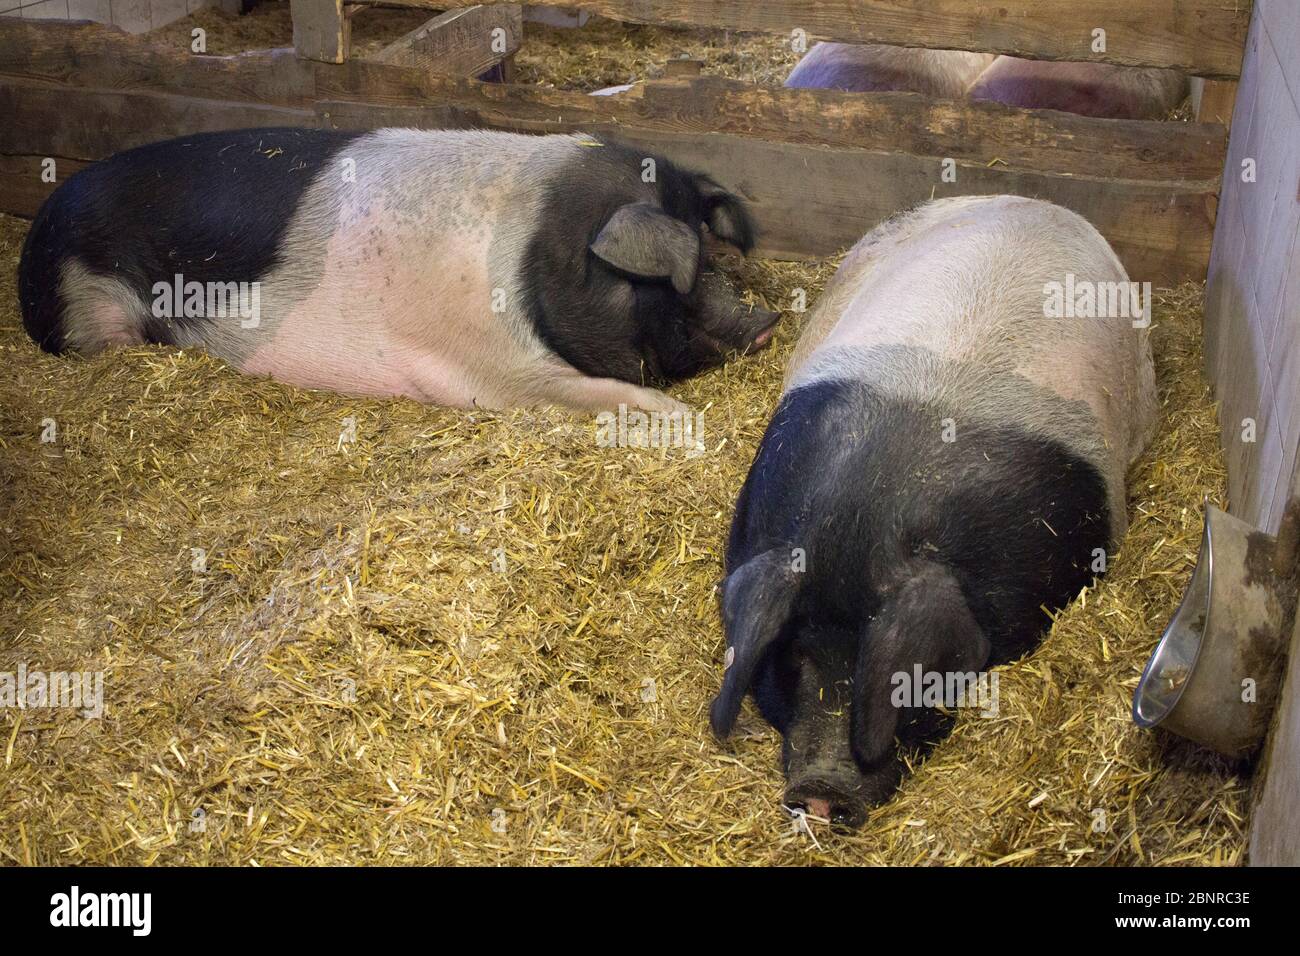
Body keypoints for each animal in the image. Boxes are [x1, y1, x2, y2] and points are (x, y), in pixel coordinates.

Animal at [17, 127, 769, 411]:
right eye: (682, 275)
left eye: (717, 252)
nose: (765, 320)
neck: (535, 255)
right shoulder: (483, 364)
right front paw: (678, 421)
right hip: (87, 308)